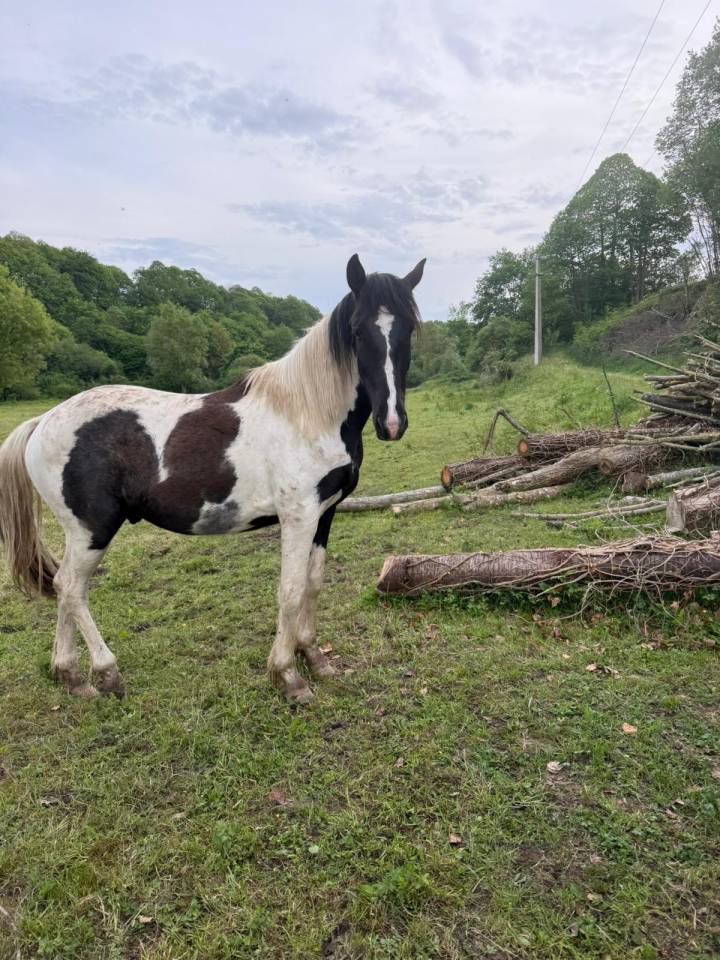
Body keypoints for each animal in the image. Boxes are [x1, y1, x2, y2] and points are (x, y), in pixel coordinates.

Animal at [0, 254, 425, 703]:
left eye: (408, 329)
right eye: (358, 331)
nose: (391, 423)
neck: (306, 414)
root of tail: (42, 421)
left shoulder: (324, 514)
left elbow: (312, 585)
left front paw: (316, 659)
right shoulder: (298, 516)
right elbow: (290, 591)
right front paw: (288, 675)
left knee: (64, 590)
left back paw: (71, 676)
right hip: (92, 529)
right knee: (71, 587)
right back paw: (107, 672)